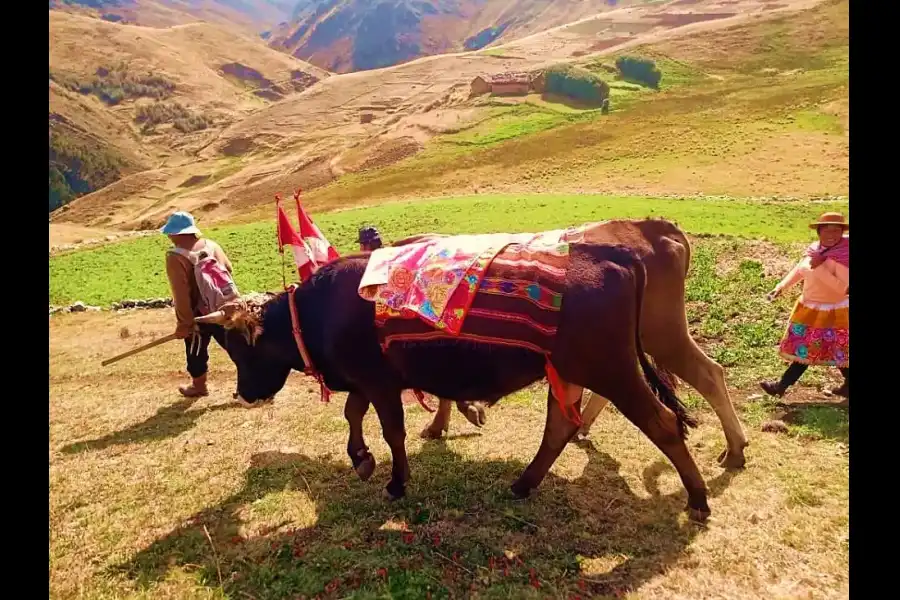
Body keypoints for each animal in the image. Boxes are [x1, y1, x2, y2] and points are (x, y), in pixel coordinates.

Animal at [200, 239, 712, 520]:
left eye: (239, 347)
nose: (244, 393)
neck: (318, 311)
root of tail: (614, 254)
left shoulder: (379, 382)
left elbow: (392, 430)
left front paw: (396, 481)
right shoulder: (366, 380)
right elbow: (351, 413)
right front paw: (361, 459)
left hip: (611, 369)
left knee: (663, 424)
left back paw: (699, 498)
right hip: (567, 373)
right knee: (560, 427)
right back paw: (522, 484)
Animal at [398, 223, 748, 472]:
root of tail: (653, 226)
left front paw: (462, 414)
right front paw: (448, 421)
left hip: (660, 334)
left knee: (709, 374)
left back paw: (734, 449)